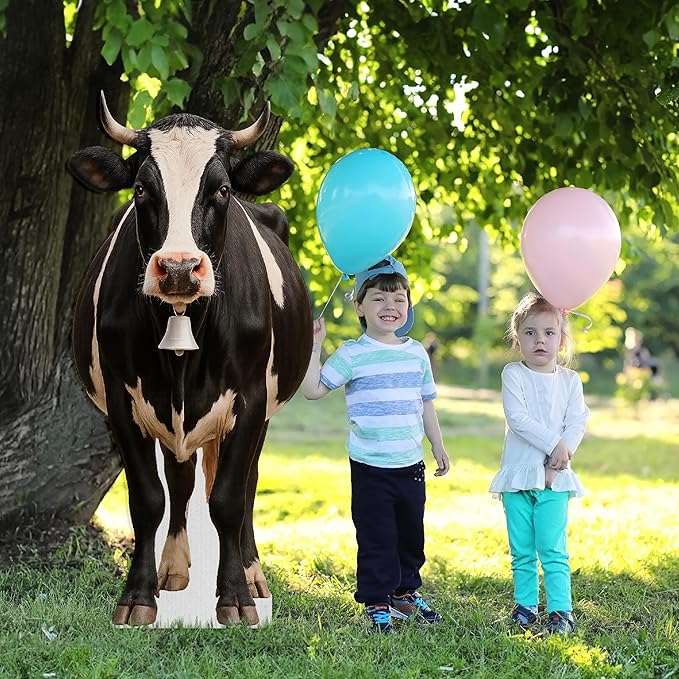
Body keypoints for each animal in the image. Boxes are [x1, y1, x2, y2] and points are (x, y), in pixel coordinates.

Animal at [67, 92, 312, 626]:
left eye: (221, 189)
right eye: (141, 188)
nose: (179, 268)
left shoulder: (250, 400)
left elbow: (228, 499)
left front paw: (236, 597)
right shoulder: (122, 401)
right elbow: (148, 499)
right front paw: (137, 597)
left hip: (264, 413)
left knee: (246, 486)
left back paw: (253, 574)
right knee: (180, 482)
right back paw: (174, 569)